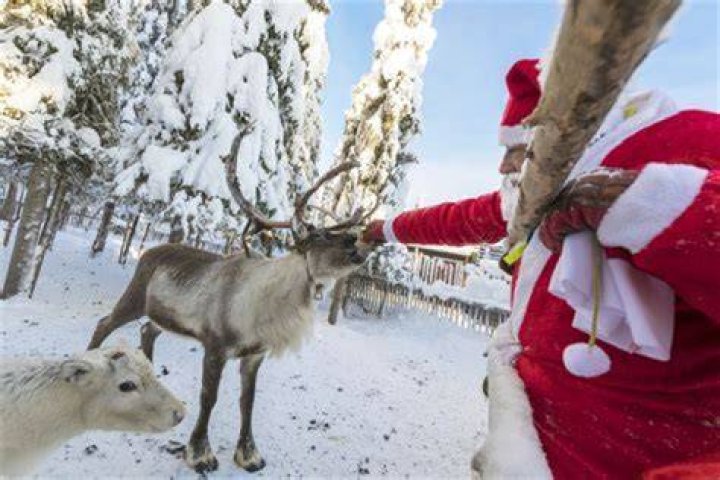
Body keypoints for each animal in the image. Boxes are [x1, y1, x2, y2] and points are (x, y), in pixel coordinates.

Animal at [86, 135, 375, 473]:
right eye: (318, 236)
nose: (357, 241)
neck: (264, 309)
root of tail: (147, 251)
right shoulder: (215, 346)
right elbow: (208, 397)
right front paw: (200, 453)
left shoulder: (254, 355)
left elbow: (247, 402)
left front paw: (249, 455)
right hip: (135, 297)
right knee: (105, 322)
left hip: (163, 316)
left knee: (147, 330)